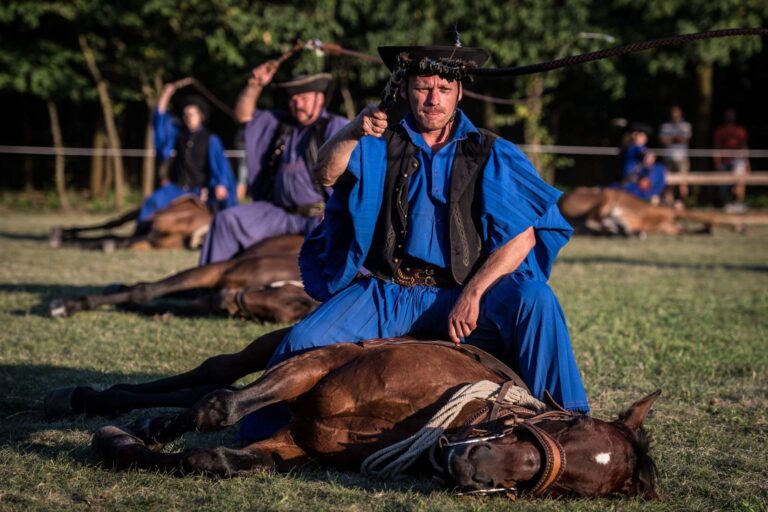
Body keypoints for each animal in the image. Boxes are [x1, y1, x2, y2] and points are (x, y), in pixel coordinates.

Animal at [44, 333, 659, 499]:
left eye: (567, 487)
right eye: (569, 424)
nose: (472, 468)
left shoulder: (296, 442)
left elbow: (207, 458)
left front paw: (123, 443)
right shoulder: (320, 363)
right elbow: (218, 404)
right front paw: (123, 431)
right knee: (214, 374)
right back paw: (86, 399)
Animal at [48, 235, 316, 322]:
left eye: (290, 310)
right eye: (273, 289)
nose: (225, 300)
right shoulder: (218, 270)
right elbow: (144, 291)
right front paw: (69, 305)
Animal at [559, 187, 751, 237]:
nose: (624, 229)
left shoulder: (670, 226)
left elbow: (693, 227)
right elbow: (709, 217)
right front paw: (739, 226)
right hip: (606, 198)